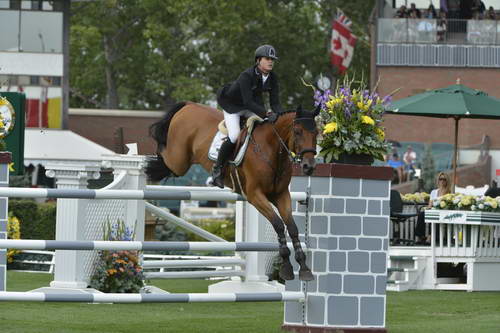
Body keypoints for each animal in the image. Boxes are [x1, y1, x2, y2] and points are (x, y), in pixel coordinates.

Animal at [146, 102, 318, 280]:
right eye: (297, 132)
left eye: (316, 133)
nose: (309, 167)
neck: (271, 150)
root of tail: (189, 105)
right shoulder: (255, 195)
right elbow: (278, 224)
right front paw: (286, 266)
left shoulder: (281, 195)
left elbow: (292, 227)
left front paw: (304, 267)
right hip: (178, 161)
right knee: (164, 156)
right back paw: (146, 165)